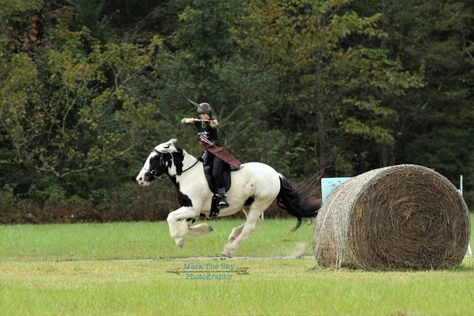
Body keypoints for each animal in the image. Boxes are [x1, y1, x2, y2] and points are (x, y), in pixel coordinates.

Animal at [137, 139, 322, 258]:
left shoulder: (193, 208)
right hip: (248, 205)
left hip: (259, 204)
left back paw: (229, 250)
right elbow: (185, 225)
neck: (187, 175)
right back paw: (233, 235)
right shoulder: (192, 211)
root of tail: (275, 174)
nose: (140, 179)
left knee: (250, 227)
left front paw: (179, 239)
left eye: (154, 158)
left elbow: (171, 217)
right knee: (255, 223)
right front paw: (203, 230)